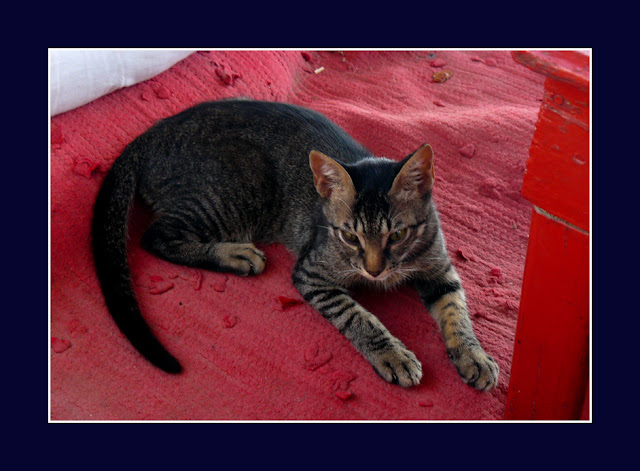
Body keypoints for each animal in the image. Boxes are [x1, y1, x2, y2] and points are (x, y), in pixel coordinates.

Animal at [92, 99, 499, 390]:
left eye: (397, 235)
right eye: (349, 236)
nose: (374, 270)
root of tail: (153, 133)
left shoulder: (440, 268)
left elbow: (456, 310)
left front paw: (474, 355)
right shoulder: (312, 272)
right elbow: (359, 316)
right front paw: (392, 354)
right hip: (242, 187)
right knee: (156, 236)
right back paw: (235, 254)